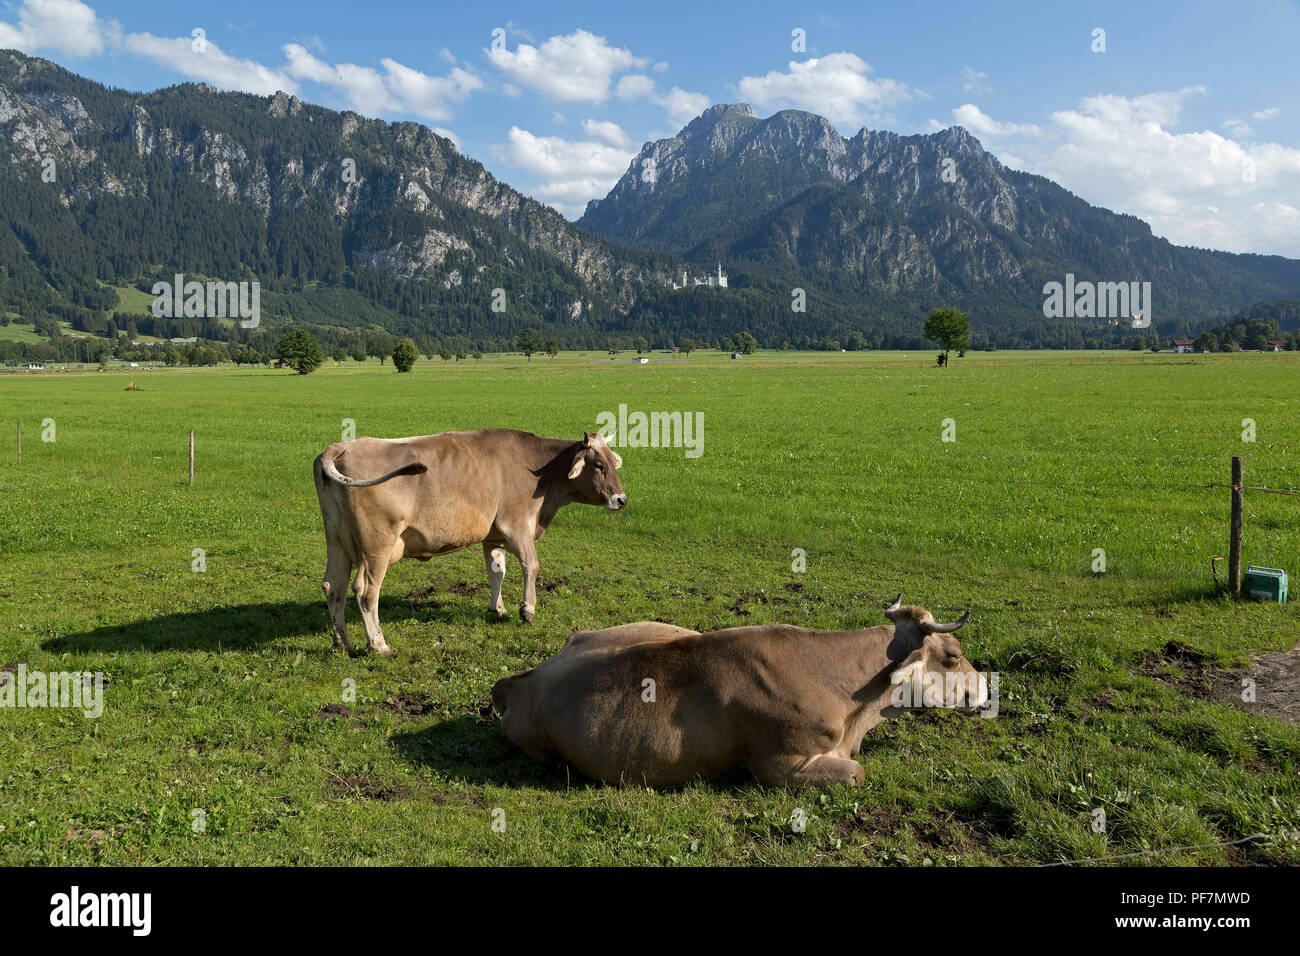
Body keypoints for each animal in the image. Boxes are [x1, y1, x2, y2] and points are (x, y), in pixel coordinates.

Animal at [309, 429, 624, 658]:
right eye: (599, 465)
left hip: (336, 540)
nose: (621, 499)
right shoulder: (517, 526)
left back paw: (343, 644)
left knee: (333, 587)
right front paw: (527, 609)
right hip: (377, 546)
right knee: (365, 592)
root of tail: (341, 447)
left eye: (614, 462)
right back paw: (378, 645)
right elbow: (531, 566)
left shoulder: (493, 535)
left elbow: (497, 571)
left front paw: (498, 609)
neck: (539, 471)